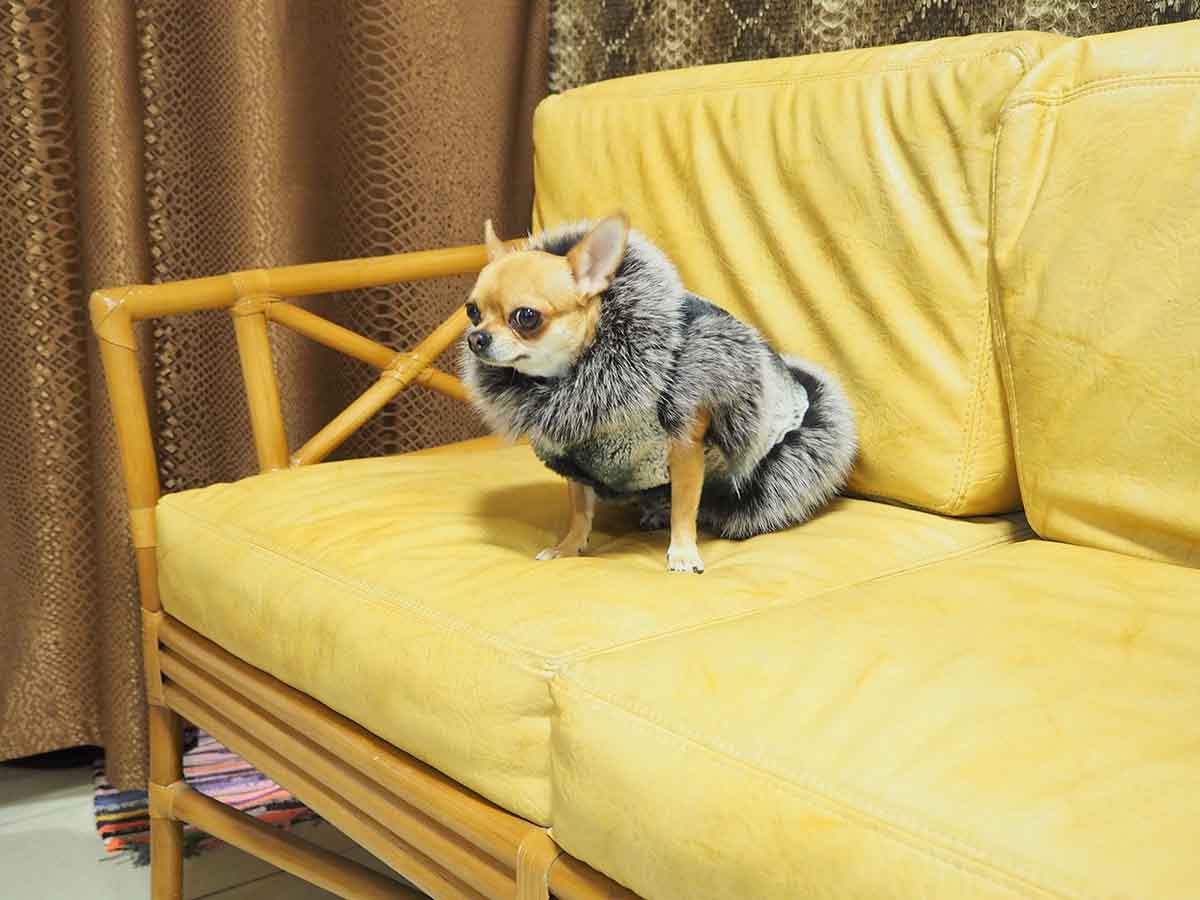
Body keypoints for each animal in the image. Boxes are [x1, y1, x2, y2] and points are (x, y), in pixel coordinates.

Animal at [462, 214, 857, 573]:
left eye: (526, 317)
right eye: (472, 311)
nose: (476, 338)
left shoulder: (685, 451)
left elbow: (684, 508)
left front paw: (682, 553)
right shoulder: (576, 461)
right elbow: (580, 509)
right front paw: (568, 546)